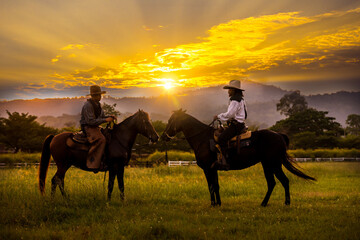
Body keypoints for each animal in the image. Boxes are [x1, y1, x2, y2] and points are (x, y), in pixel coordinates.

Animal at [162, 110, 316, 206]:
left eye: (171, 120)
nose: (163, 136)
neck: (203, 139)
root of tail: (279, 135)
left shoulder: (207, 168)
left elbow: (211, 186)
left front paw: (213, 204)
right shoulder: (213, 169)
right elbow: (216, 186)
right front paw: (218, 204)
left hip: (274, 164)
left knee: (284, 181)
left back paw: (285, 203)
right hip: (267, 165)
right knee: (272, 183)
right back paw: (264, 203)